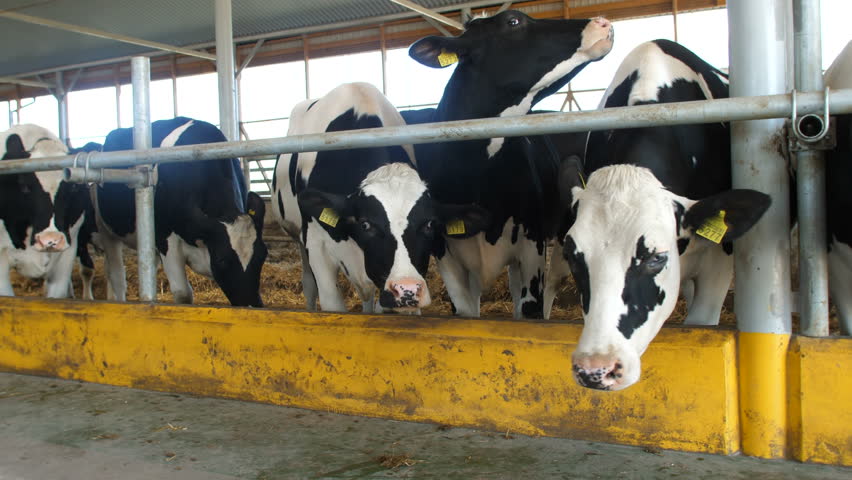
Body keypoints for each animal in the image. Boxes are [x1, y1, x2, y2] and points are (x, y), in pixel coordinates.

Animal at [93, 119, 268, 308]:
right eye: (221, 260)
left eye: (263, 255)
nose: (251, 306)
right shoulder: (166, 240)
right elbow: (183, 293)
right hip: (106, 229)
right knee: (116, 275)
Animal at [272, 81, 486, 316]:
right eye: (366, 224)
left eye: (430, 224)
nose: (407, 289)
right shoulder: (316, 245)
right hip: (298, 238)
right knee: (309, 284)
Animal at [402, 10, 616, 318]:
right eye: (513, 21)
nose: (602, 22)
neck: (476, 177)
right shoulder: (446, 254)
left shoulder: (532, 247)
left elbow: (529, 310)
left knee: (553, 283)